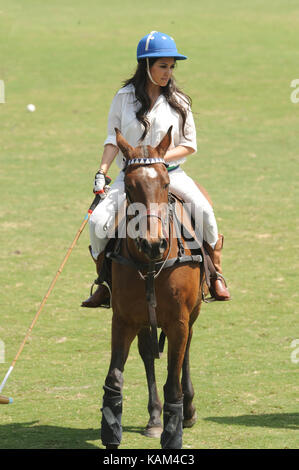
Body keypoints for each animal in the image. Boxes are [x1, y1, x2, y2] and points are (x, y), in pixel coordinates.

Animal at [102, 126, 205, 450]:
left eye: (165, 183)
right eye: (129, 186)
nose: (153, 243)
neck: (149, 263)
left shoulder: (179, 320)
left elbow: (173, 379)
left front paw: (174, 431)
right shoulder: (123, 319)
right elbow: (114, 377)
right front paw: (111, 429)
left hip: (191, 313)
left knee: (186, 349)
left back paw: (188, 410)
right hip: (144, 319)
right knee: (148, 352)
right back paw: (155, 417)